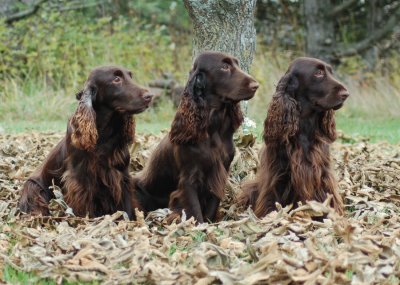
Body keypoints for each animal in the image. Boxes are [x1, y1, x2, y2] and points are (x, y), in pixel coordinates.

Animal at [18, 66, 153, 217]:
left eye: (130, 77)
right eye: (116, 79)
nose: (150, 96)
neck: (103, 134)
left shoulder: (121, 175)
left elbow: (127, 205)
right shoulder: (79, 179)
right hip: (33, 187)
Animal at [134, 52, 260, 223]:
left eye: (237, 65)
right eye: (224, 66)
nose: (256, 85)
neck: (213, 128)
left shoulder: (220, 172)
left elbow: (212, 206)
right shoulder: (189, 178)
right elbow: (194, 209)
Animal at [239, 57, 348, 215]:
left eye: (330, 72)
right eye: (318, 73)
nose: (346, 94)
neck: (304, 128)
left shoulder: (323, 171)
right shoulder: (278, 173)